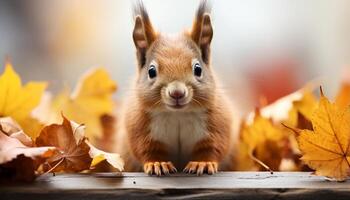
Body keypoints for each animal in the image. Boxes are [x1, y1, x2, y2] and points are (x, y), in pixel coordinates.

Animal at [116, 0, 237, 175]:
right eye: (151, 71)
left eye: (198, 69)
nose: (177, 93)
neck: (177, 115)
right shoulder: (139, 127)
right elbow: (147, 149)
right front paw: (158, 163)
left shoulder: (218, 122)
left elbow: (212, 147)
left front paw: (202, 163)